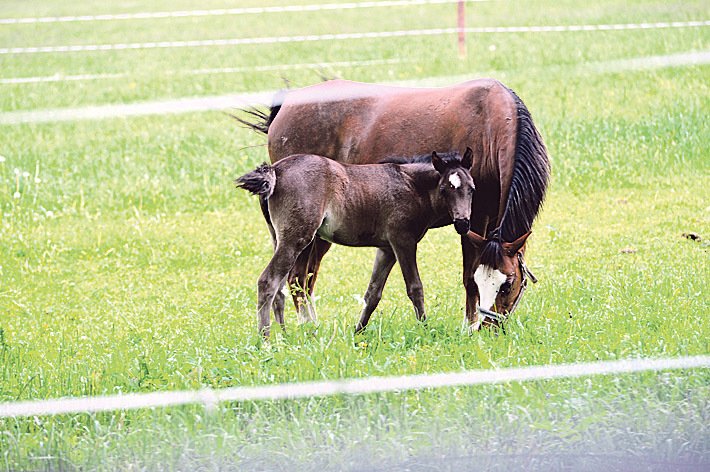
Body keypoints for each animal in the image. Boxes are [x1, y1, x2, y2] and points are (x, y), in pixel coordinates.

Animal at [236, 148, 476, 336]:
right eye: (444, 189)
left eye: (472, 188)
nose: (463, 223)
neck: (411, 185)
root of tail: (275, 170)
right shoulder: (403, 241)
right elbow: (415, 288)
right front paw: (425, 329)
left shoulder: (386, 249)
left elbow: (373, 293)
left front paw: (357, 332)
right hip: (296, 239)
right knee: (269, 282)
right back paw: (266, 341)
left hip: (281, 238)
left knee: (285, 287)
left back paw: (286, 336)